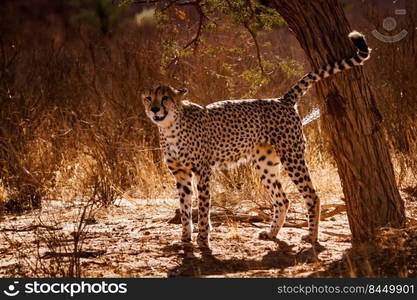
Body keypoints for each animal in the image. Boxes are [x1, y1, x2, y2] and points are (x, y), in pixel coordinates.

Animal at [141, 32, 368, 248]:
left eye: (165, 98)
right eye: (148, 98)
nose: (154, 109)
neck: (170, 128)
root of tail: (282, 99)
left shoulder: (203, 171)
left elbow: (203, 208)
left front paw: (203, 240)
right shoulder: (181, 174)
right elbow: (185, 208)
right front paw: (185, 239)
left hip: (292, 157)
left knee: (312, 196)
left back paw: (311, 237)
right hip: (265, 164)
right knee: (282, 199)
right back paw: (272, 233)